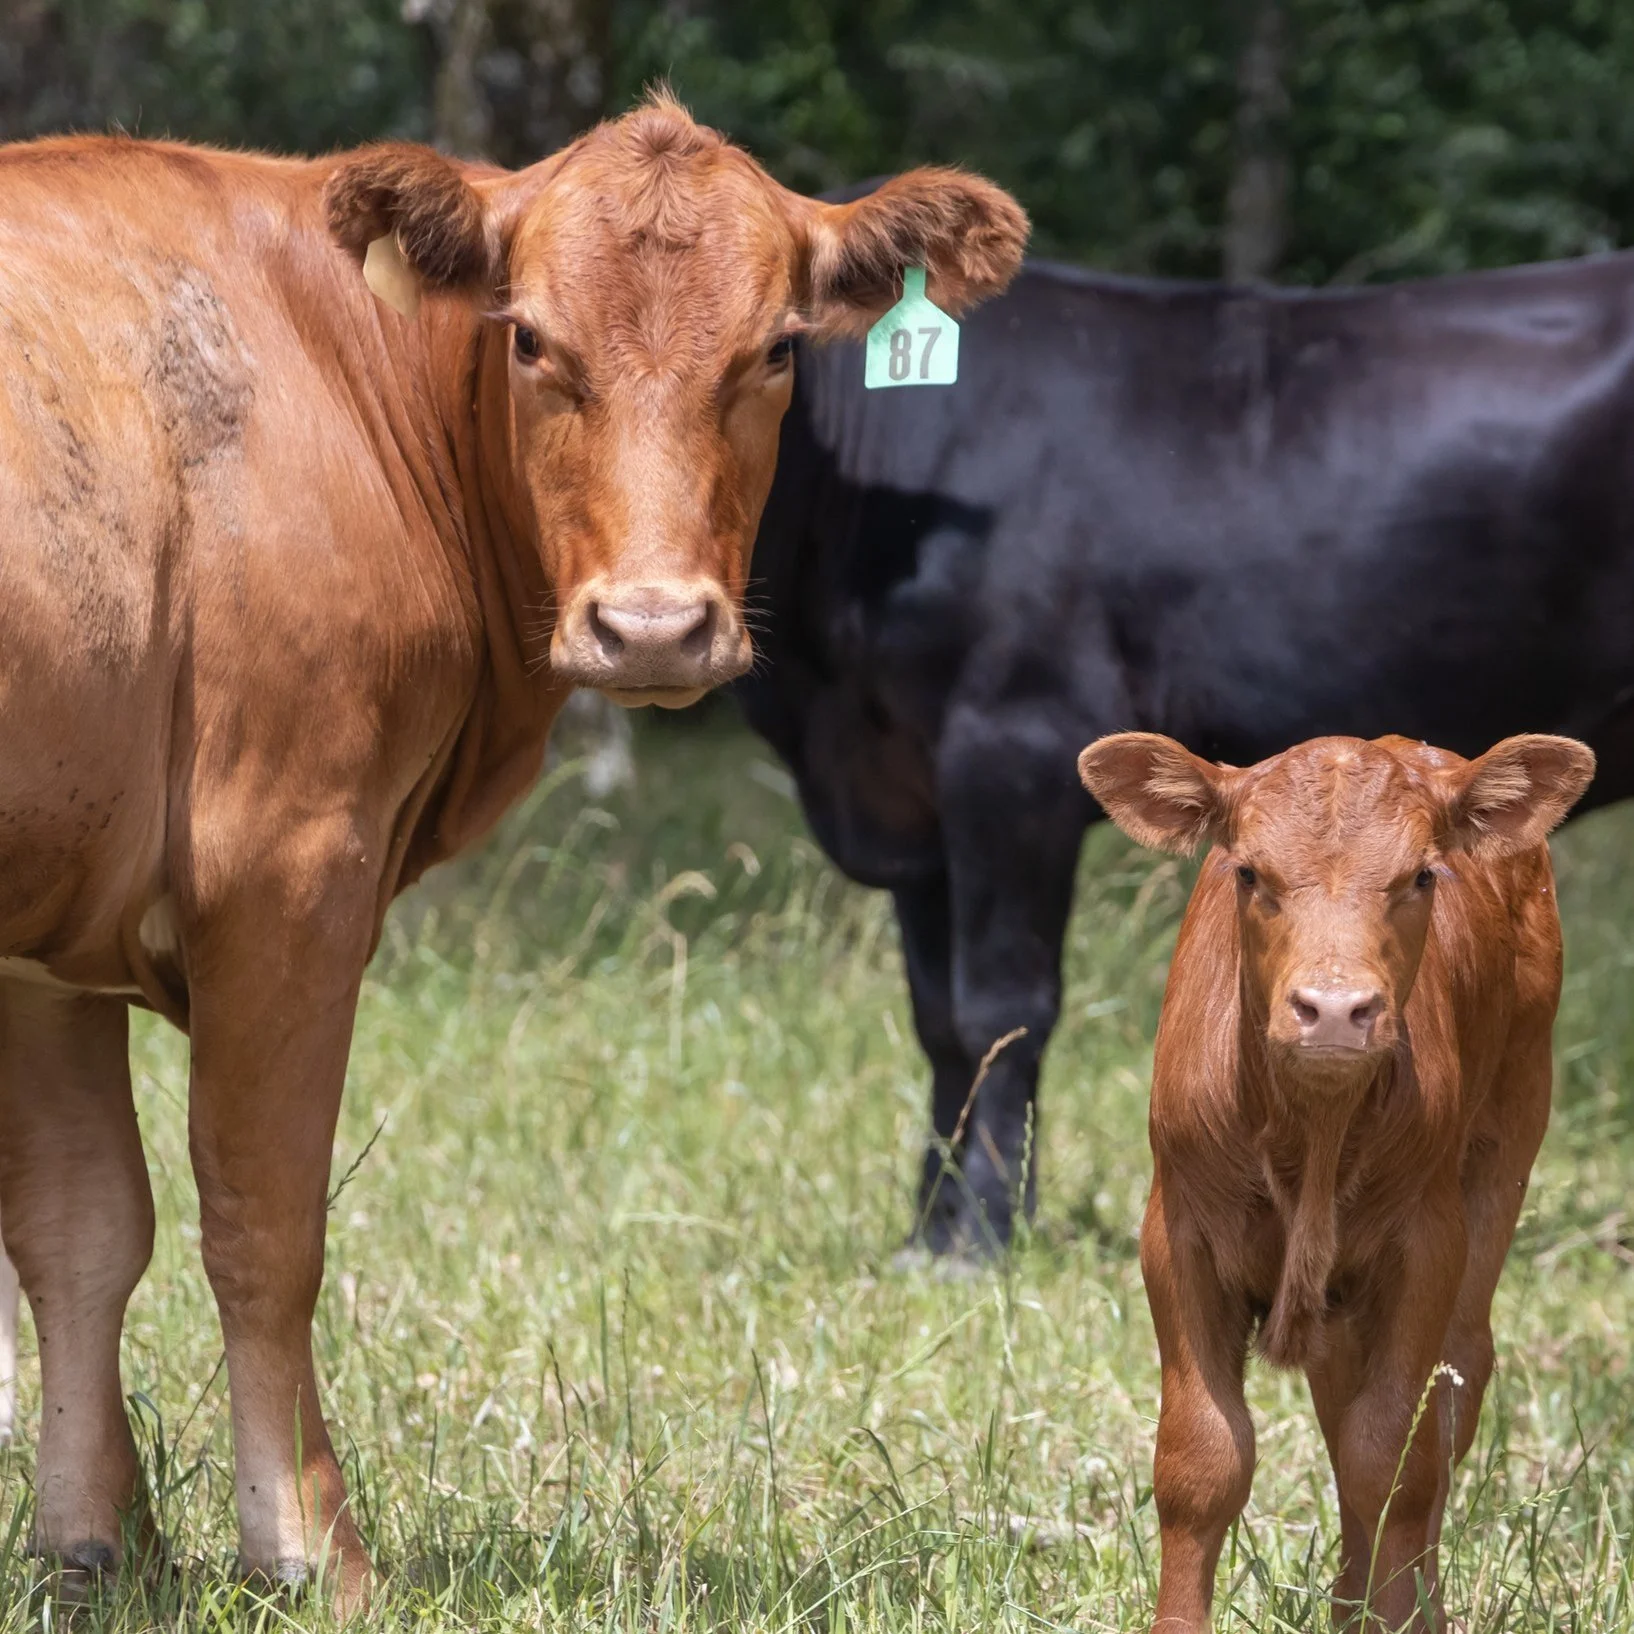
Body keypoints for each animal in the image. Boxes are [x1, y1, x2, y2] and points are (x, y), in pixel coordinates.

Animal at [0, 98, 1026, 1601]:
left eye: (777, 349)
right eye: (532, 338)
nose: (653, 625)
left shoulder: (53, 928)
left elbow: (79, 1228)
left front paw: (90, 1548)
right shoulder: (287, 865)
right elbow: (264, 1224)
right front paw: (312, 1548)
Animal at [735, 248, 1634, 1258]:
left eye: (773, 341)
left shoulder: (1010, 746)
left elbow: (1001, 1008)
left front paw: (985, 1232)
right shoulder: (908, 788)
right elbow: (939, 1020)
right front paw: (932, 1228)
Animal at [1076, 729, 1593, 1633]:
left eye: (1422, 875)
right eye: (1249, 872)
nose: (1335, 1009)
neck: (1311, 1134)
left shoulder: (1427, 1243)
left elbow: (1390, 1458)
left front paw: (1401, 1617)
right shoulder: (1176, 1233)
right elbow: (1202, 1458)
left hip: (1509, 1141)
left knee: (1450, 1392)